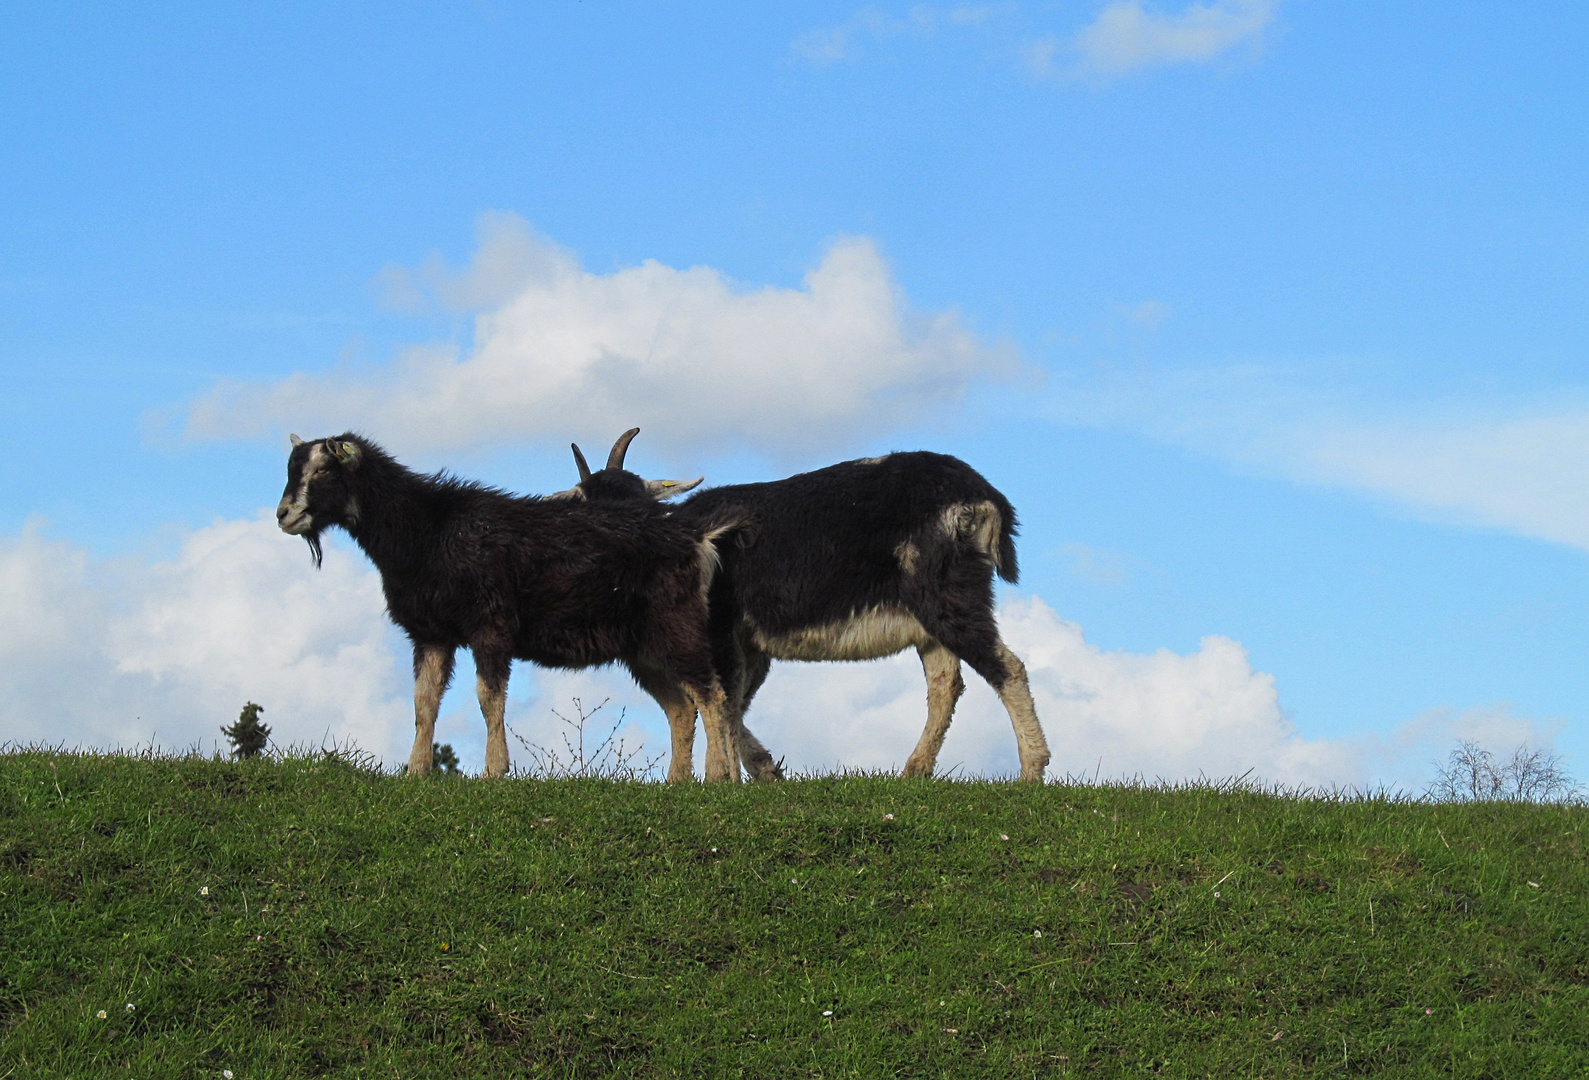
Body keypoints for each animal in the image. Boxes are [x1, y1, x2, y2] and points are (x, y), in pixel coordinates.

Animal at [565, 428, 1048, 775]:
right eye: (581, 501)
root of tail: (986, 498)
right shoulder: (750, 645)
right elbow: (733, 703)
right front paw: (764, 770)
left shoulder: (720, 632)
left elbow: (721, 701)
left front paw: (729, 776)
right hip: (929, 618)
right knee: (946, 684)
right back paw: (914, 771)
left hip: (946, 591)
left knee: (1006, 666)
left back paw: (1031, 770)